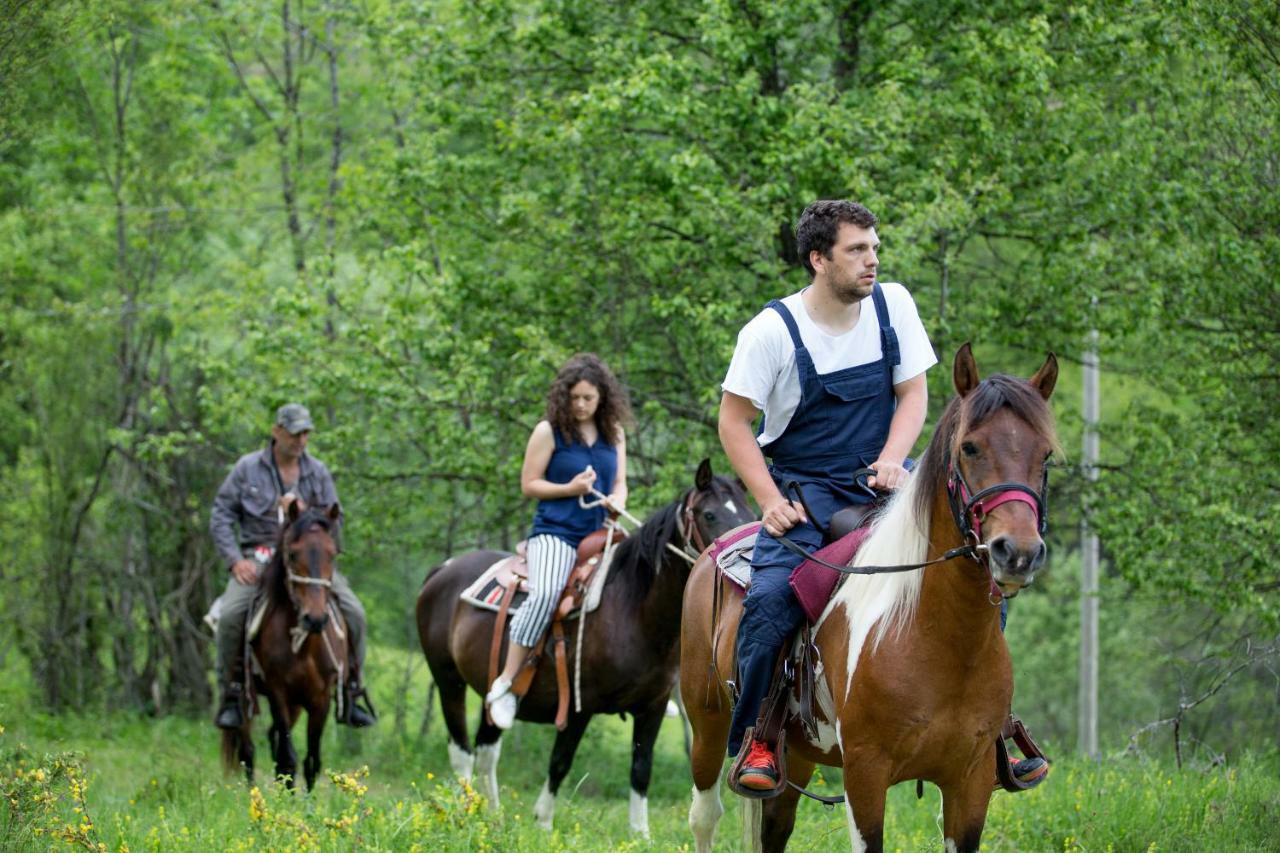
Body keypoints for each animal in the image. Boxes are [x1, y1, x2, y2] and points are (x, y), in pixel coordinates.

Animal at [221, 502, 348, 788]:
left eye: (333, 554)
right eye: (292, 554)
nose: (315, 618)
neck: (305, 647)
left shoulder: (320, 698)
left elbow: (311, 761)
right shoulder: (278, 692)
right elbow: (287, 759)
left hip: (297, 705)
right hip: (246, 698)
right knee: (248, 751)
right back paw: (251, 792)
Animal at [414, 461, 752, 835]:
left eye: (750, 511)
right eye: (709, 514)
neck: (633, 609)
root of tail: (442, 569)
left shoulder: (652, 708)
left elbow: (641, 768)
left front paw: (640, 833)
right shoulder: (579, 705)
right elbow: (560, 761)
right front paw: (544, 822)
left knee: (487, 750)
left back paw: (493, 814)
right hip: (448, 681)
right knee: (461, 750)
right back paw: (467, 811)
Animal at [680, 345, 1059, 850]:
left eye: (1046, 454)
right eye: (970, 447)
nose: (1017, 553)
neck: (936, 635)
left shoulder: (971, 780)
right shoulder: (865, 774)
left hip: (796, 754)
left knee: (774, 826)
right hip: (706, 724)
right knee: (705, 815)